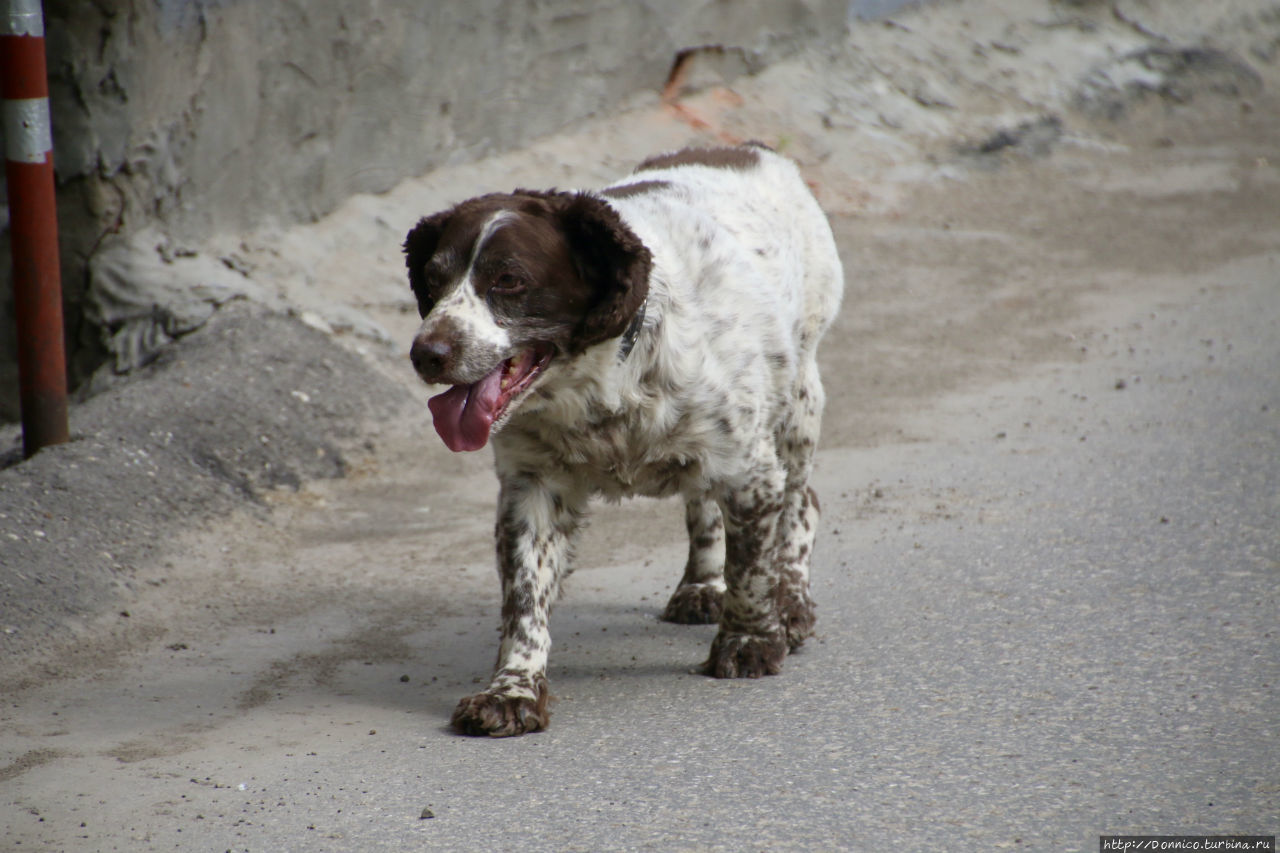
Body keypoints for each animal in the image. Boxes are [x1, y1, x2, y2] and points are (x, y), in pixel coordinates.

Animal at [399, 140, 839, 732]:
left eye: (509, 279)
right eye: (433, 279)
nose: (426, 353)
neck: (603, 381)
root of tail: (750, 148)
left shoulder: (750, 469)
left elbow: (752, 568)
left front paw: (749, 642)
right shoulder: (532, 486)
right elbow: (524, 599)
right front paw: (512, 691)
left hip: (796, 403)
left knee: (801, 501)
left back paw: (791, 600)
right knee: (704, 503)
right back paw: (702, 586)